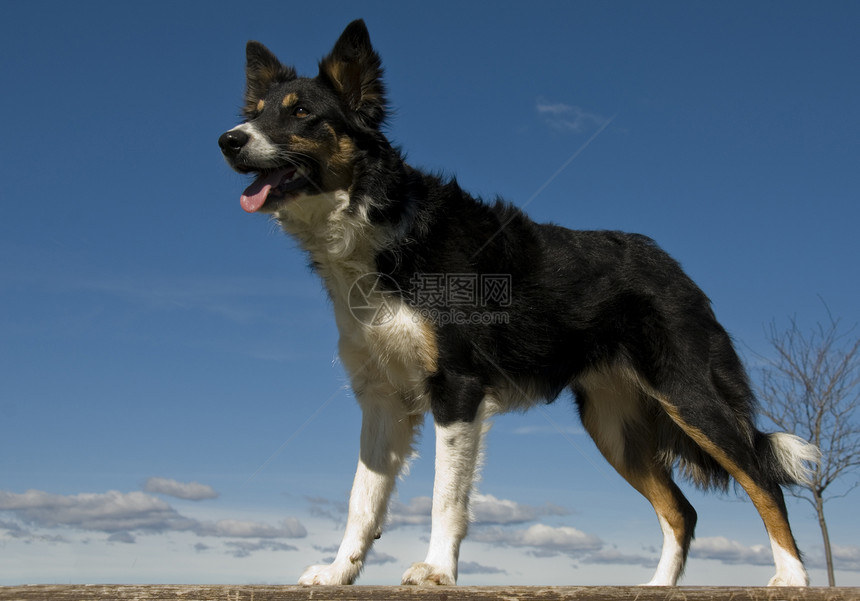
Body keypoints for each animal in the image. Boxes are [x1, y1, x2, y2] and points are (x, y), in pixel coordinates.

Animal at [218, 19, 816, 584]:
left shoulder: (457, 388)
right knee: (681, 510)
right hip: (612, 424)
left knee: (764, 481)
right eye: (255, 113)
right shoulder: (381, 398)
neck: (378, 225)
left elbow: (444, 498)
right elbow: (361, 501)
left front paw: (437, 571)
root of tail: (674, 267)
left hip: (689, 396)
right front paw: (338, 572)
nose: (227, 140)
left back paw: (790, 576)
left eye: (301, 113)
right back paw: (660, 584)